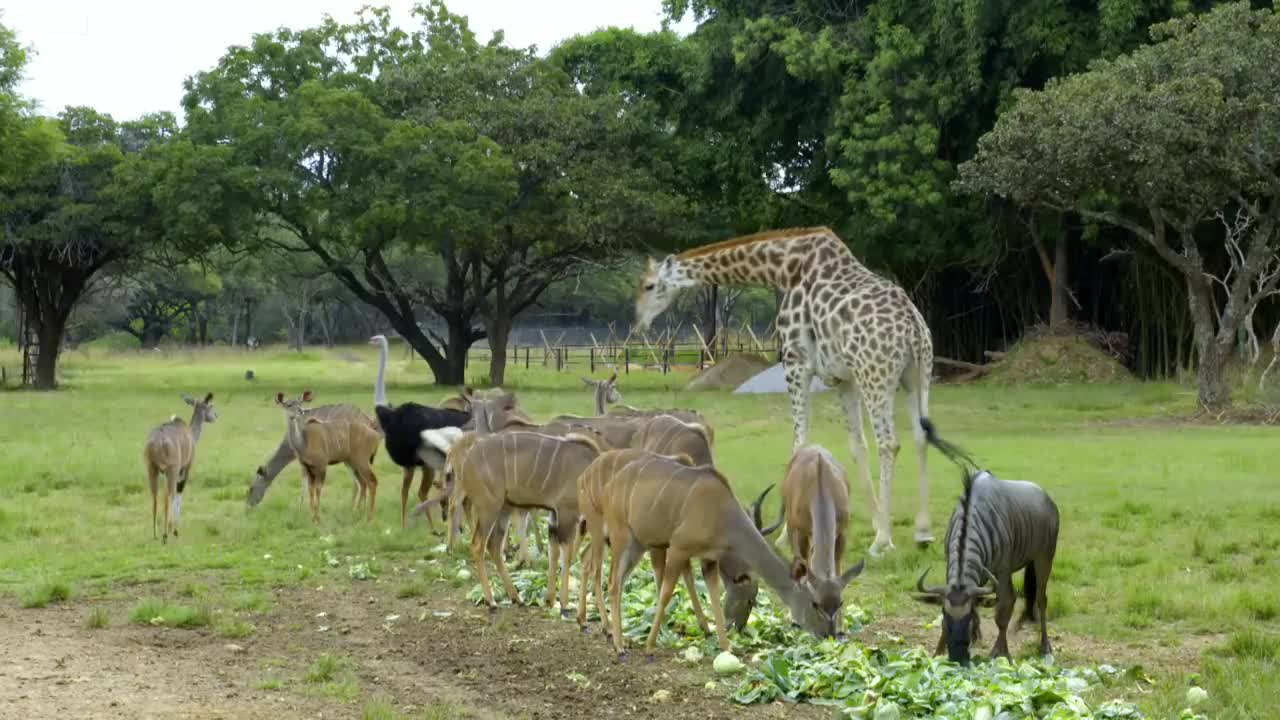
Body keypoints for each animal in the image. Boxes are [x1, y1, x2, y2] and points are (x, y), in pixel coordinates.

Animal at [144, 394, 217, 540]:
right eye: (210, 407)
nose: (216, 415)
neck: (191, 434)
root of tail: (158, 440)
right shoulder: (185, 469)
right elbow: (179, 494)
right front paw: (175, 530)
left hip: (152, 469)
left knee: (155, 497)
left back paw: (155, 535)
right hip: (171, 470)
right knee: (169, 496)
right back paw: (165, 535)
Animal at [273, 386, 378, 520]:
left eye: (300, 403)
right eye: (288, 404)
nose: (300, 411)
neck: (304, 442)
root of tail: (375, 435)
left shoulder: (321, 466)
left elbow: (318, 489)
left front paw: (317, 518)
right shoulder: (307, 468)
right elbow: (311, 490)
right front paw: (312, 517)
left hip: (361, 461)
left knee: (372, 481)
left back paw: (369, 517)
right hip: (352, 463)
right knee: (362, 483)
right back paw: (357, 512)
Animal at [634, 224, 936, 556]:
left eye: (649, 285)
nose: (638, 323)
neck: (782, 269)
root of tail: (913, 327)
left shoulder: (796, 363)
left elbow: (799, 443)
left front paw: (783, 537)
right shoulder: (845, 378)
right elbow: (858, 446)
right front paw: (876, 522)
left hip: (876, 376)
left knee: (890, 442)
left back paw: (882, 543)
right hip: (917, 375)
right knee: (920, 437)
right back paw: (922, 533)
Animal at [757, 443, 870, 632]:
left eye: (840, 602)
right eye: (816, 604)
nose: (831, 633)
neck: (820, 486)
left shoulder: (842, 532)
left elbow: (837, 568)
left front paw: (842, 627)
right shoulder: (800, 530)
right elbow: (802, 567)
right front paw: (797, 619)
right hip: (792, 524)